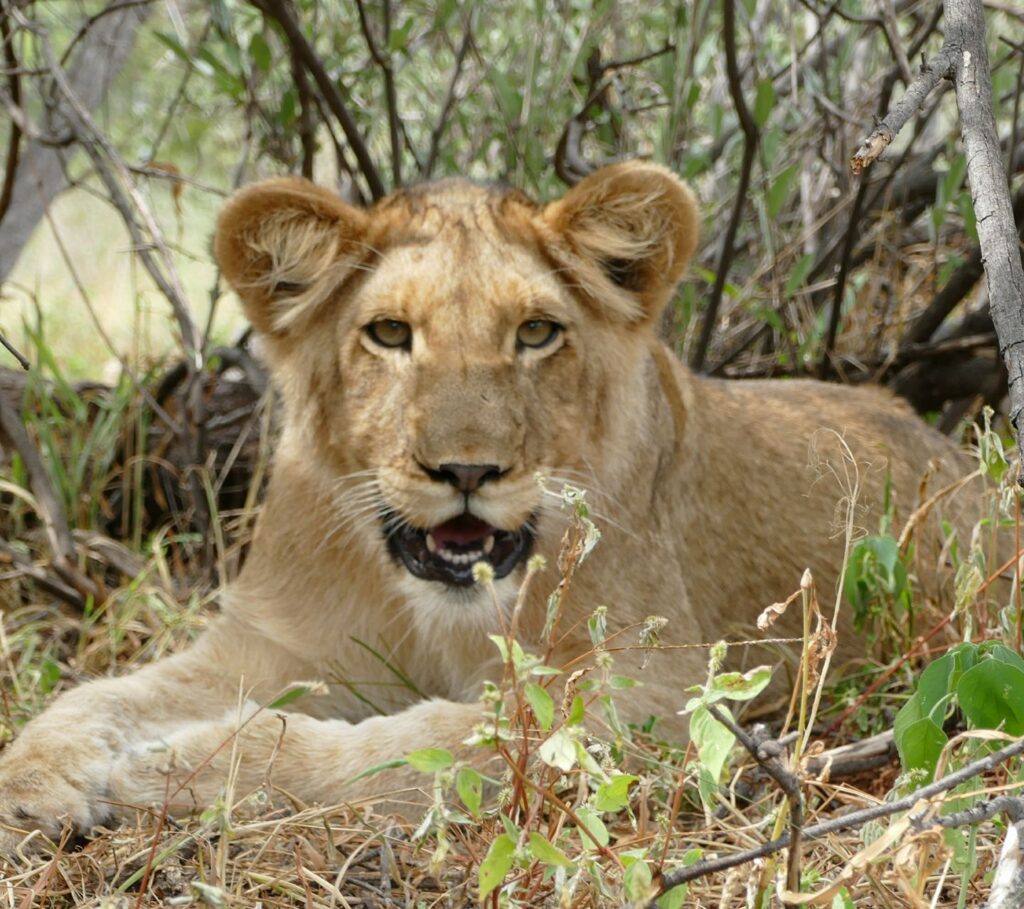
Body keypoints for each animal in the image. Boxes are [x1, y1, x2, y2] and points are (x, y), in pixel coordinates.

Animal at [0, 162, 975, 849]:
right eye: (390, 333)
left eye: (535, 332)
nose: (465, 468)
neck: (432, 610)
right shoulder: (268, 641)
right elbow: (98, 693)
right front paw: (32, 780)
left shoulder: (657, 694)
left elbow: (421, 741)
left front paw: (181, 769)